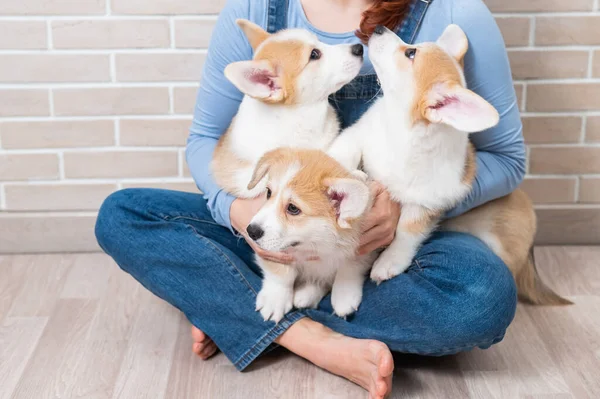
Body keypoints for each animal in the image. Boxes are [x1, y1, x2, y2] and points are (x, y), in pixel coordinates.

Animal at [244, 148, 376, 324]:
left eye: (293, 208)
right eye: (269, 192)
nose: (251, 231)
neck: (314, 245)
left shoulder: (366, 245)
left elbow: (349, 266)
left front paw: (344, 295)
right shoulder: (277, 253)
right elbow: (281, 273)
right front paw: (275, 300)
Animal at [330, 25, 568, 306]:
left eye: (411, 53)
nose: (378, 29)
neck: (401, 131)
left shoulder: (426, 203)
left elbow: (406, 231)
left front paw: (389, 262)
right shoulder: (359, 135)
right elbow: (345, 152)